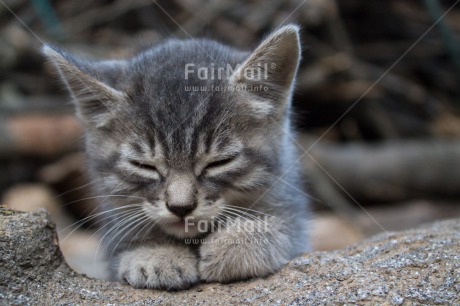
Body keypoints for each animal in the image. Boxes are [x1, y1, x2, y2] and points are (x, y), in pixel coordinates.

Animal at [43, 23, 310, 290]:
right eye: (143, 165)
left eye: (219, 162)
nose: (181, 207)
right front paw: (155, 254)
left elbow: (286, 226)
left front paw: (237, 243)